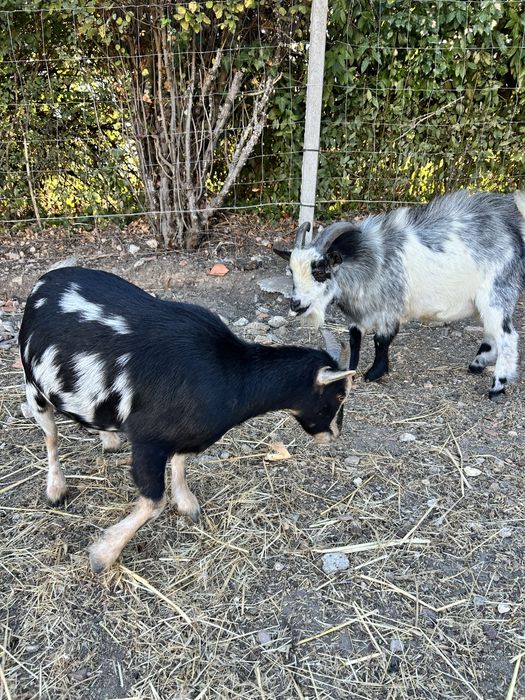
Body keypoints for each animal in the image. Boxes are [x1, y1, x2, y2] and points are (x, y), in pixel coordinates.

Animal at [19, 266, 354, 573]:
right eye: (339, 395)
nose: (334, 435)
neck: (232, 375)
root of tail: (46, 280)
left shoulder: (190, 436)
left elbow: (181, 461)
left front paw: (187, 504)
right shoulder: (148, 441)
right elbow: (153, 501)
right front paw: (103, 555)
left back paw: (109, 439)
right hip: (34, 387)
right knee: (51, 437)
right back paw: (55, 489)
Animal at [274, 191, 525, 399]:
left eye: (319, 271)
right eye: (291, 271)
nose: (296, 304)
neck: (370, 261)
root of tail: (513, 229)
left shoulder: (389, 308)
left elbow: (381, 340)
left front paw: (375, 372)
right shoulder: (358, 312)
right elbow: (355, 339)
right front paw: (350, 370)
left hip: (497, 293)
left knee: (507, 337)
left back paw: (497, 386)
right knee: (492, 333)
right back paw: (477, 364)